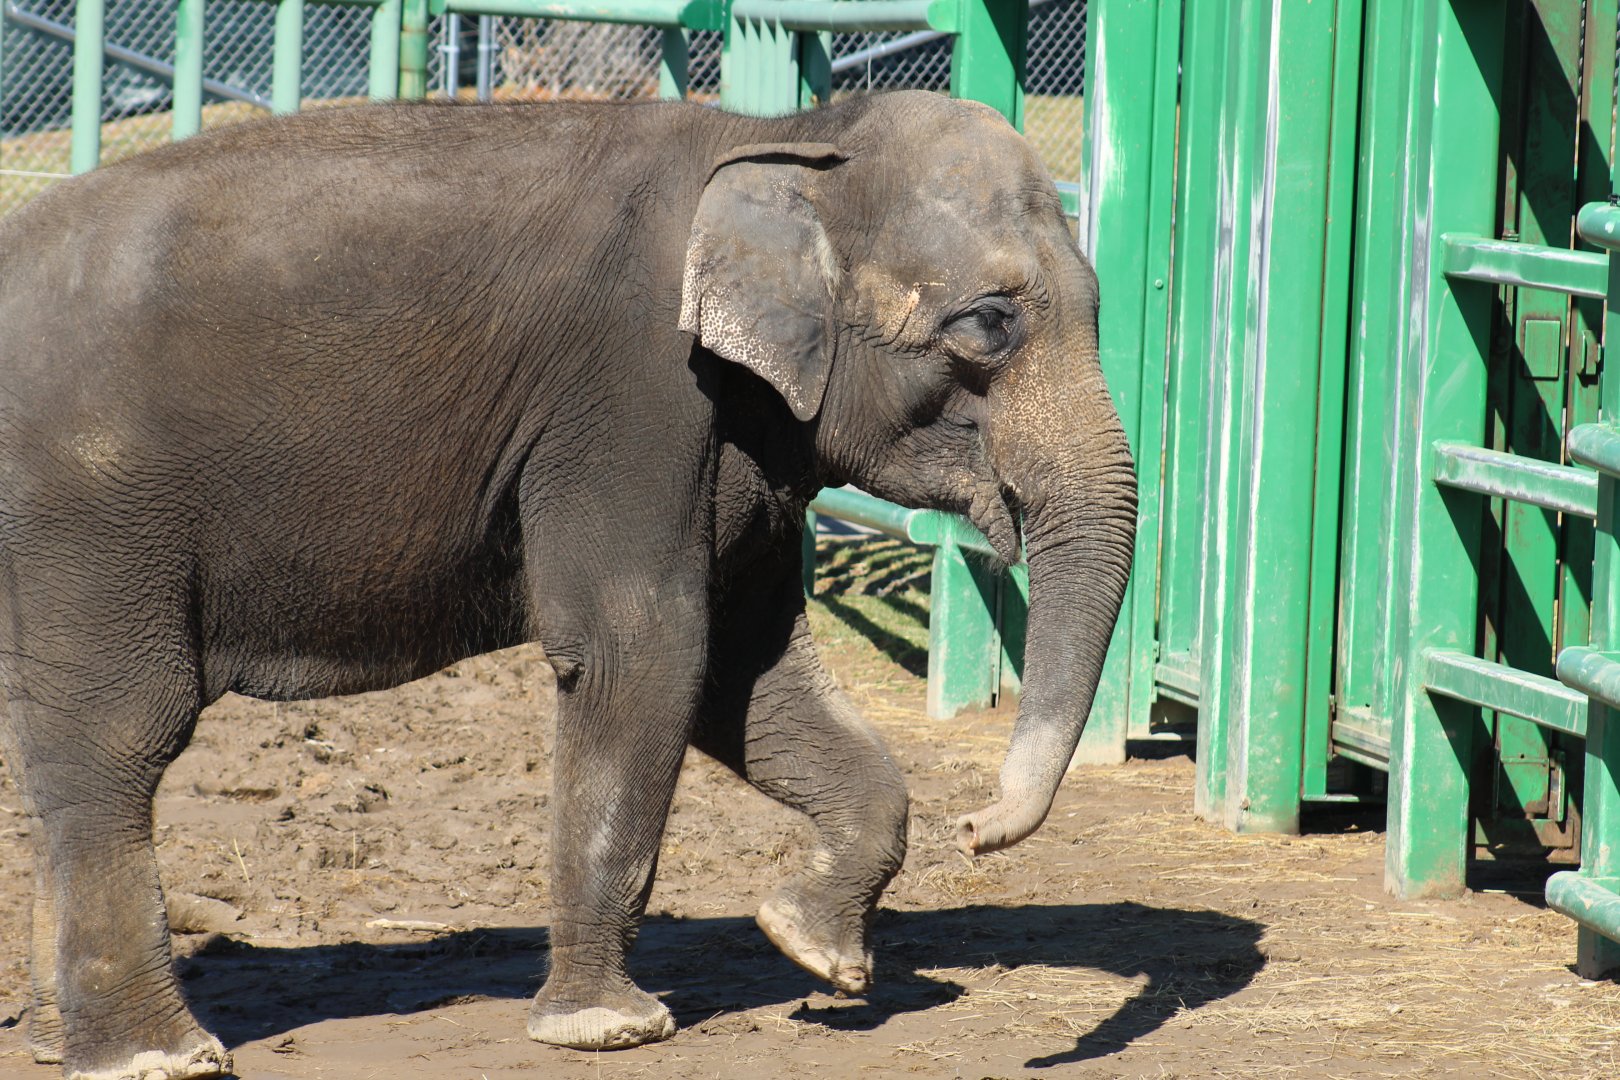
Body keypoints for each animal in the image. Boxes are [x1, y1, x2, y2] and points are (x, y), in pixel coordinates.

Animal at [0, 89, 1136, 1079]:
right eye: (986, 325)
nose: (977, 828)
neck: (785, 137)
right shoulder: (636, 393)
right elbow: (648, 651)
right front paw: (609, 1029)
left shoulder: (737, 435)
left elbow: (747, 674)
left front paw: (812, 949)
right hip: (88, 514)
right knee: (119, 735)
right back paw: (158, 1057)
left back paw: (73, 1044)